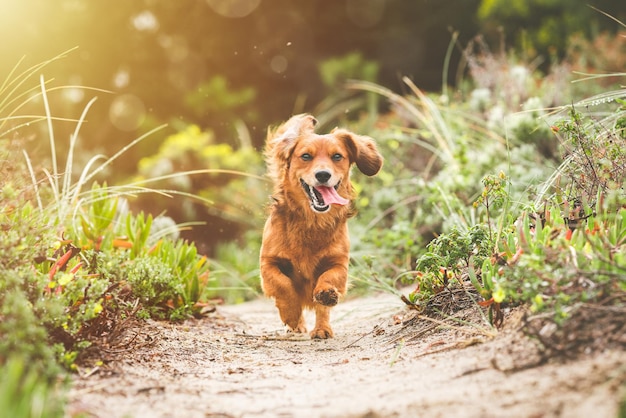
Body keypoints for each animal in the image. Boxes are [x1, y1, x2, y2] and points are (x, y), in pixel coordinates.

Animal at [258, 112, 380, 338]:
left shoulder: (339, 262)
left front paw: (325, 293)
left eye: (337, 156)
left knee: (322, 309)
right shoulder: (268, 263)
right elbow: (283, 285)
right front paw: (291, 314)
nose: (323, 174)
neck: (311, 222)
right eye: (306, 156)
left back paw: (322, 329)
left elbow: (328, 279)